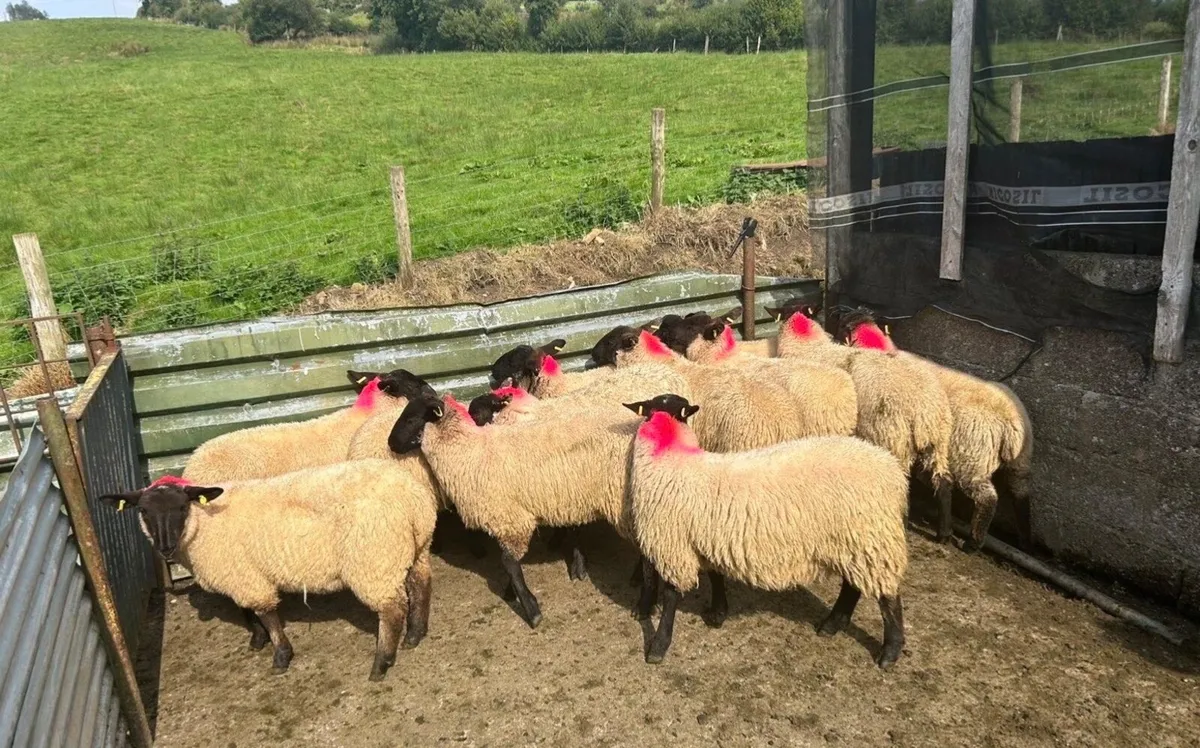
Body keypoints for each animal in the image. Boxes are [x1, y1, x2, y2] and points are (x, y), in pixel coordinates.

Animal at [100, 461, 437, 681]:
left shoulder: (244, 577)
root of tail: (411, 497)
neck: (203, 525)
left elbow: (265, 613)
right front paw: (256, 640)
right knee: (421, 584)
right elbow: (247, 612)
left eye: (182, 507)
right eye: (143, 511)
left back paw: (381, 663)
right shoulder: (243, 572)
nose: (165, 547)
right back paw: (415, 634)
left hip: (373, 559)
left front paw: (280, 655)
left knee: (391, 610)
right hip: (413, 549)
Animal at [621, 394, 910, 669]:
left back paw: (889, 652)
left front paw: (659, 646)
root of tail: (892, 470)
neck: (675, 460)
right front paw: (718, 613)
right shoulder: (708, 539)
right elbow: (716, 575)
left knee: (888, 597)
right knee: (853, 587)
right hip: (856, 541)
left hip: (872, 537)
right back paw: (832, 624)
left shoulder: (673, 544)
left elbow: (671, 595)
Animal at [838, 309, 1034, 551]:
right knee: (1020, 495)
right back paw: (1023, 541)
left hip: (970, 458)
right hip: (1020, 462)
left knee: (986, 497)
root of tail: (1010, 420)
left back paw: (973, 542)